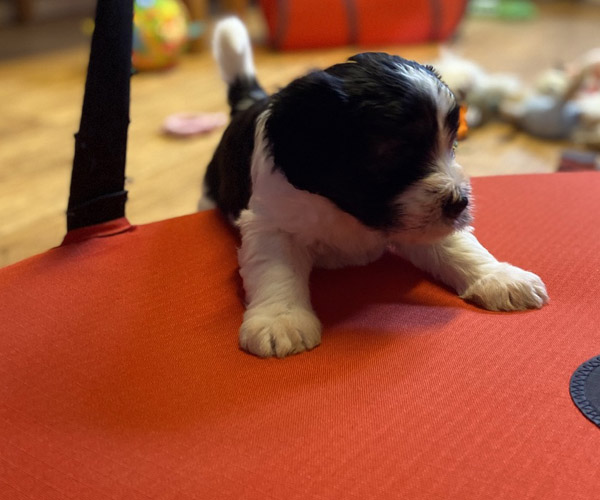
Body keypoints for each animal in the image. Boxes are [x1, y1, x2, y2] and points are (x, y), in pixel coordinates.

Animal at [201, 18, 548, 358]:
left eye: (452, 144)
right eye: (396, 152)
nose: (460, 203)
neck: (342, 207)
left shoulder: (420, 218)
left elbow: (458, 245)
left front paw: (498, 277)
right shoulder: (271, 222)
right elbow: (276, 267)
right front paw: (280, 320)